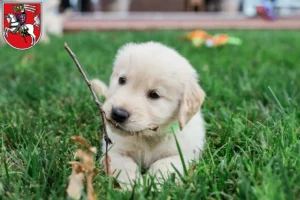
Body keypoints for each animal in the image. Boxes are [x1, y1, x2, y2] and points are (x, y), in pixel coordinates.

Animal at [91, 41, 206, 188]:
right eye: (122, 80)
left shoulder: (183, 156)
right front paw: (135, 186)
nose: (118, 113)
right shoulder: (113, 152)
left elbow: (162, 165)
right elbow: (126, 167)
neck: (149, 137)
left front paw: (153, 186)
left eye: (154, 94)